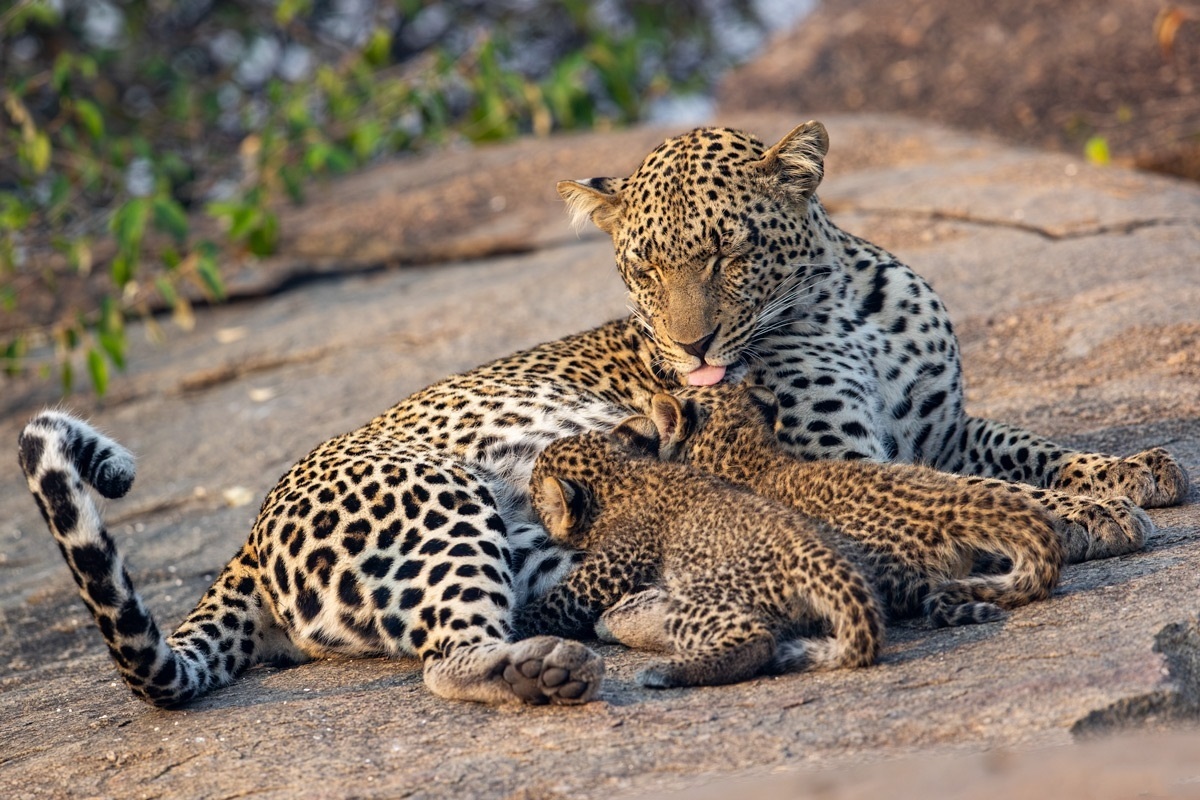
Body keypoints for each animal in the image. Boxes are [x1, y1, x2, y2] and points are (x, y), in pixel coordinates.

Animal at [18, 118, 1190, 705]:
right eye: (640, 269)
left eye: (723, 252)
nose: (691, 350)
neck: (838, 298)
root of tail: (246, 545)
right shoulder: (831, 450)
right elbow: (960, 487)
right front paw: (1090, 518)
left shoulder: (939, 422)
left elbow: (1021, 447)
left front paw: (1133, 469)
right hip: (442, 497)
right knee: (454, 659)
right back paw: (547, 673)